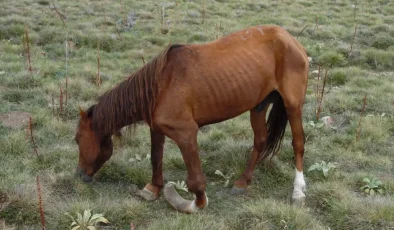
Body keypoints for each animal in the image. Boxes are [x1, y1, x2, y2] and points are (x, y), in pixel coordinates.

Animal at [75, 25, 310, 214]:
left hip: (292, 104)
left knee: (298, 143)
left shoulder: (186, 133)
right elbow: (155, 158)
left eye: (77, 139)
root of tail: (289, 38)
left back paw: (298, 191)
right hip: (258, 106)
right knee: (260, 141)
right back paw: (243, 182)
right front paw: (153, 189)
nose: (79, 175)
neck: (160, 86)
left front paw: (194, 204)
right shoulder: (157, 129)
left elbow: (196, 181)